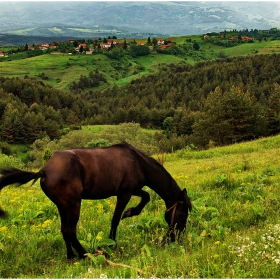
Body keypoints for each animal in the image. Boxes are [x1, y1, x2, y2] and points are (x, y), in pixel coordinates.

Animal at [0, 143, 191, 260]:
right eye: (182, 214)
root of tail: (44, 170)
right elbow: (116, 219)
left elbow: (146, 197)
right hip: (73, 205)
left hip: (62, 206)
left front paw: (129, 213)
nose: (176, 237)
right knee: (70, 231)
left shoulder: (132, 190)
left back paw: (71, 256)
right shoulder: (124, 193)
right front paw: (113, 243)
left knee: (63, 230)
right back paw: (85, 255)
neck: (137, 162)